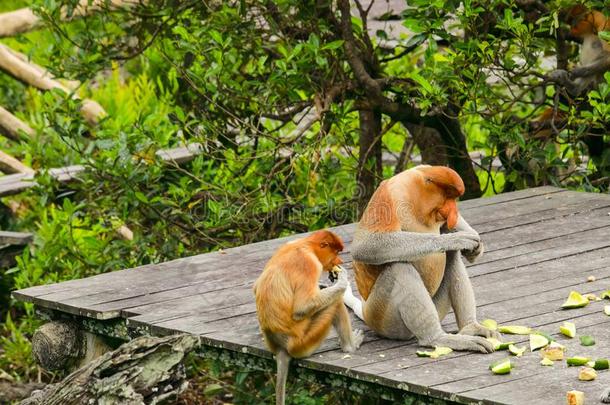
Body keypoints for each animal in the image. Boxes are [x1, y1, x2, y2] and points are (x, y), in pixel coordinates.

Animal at [252, 230, 360, 404]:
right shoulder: (310, 264)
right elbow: (302, 307)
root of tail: (282, 346)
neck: (306, 245)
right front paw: (342, 279)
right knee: (335, 303)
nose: (340, 261)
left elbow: (256, 286)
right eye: (336, 252)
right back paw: (351, 346)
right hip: (305, 342)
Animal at [340, 166, 496, 352]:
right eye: (448, 196)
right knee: (399, 267)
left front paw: (475, 247)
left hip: (435, 308)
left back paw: (471, 328)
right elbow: (364, 245)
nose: (453, 211)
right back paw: (438, 338)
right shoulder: (390, 196)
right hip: (381, 316)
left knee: (452, 256)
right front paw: (456, 239)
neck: (417, 193)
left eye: (454, 198)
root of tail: (365, 310)